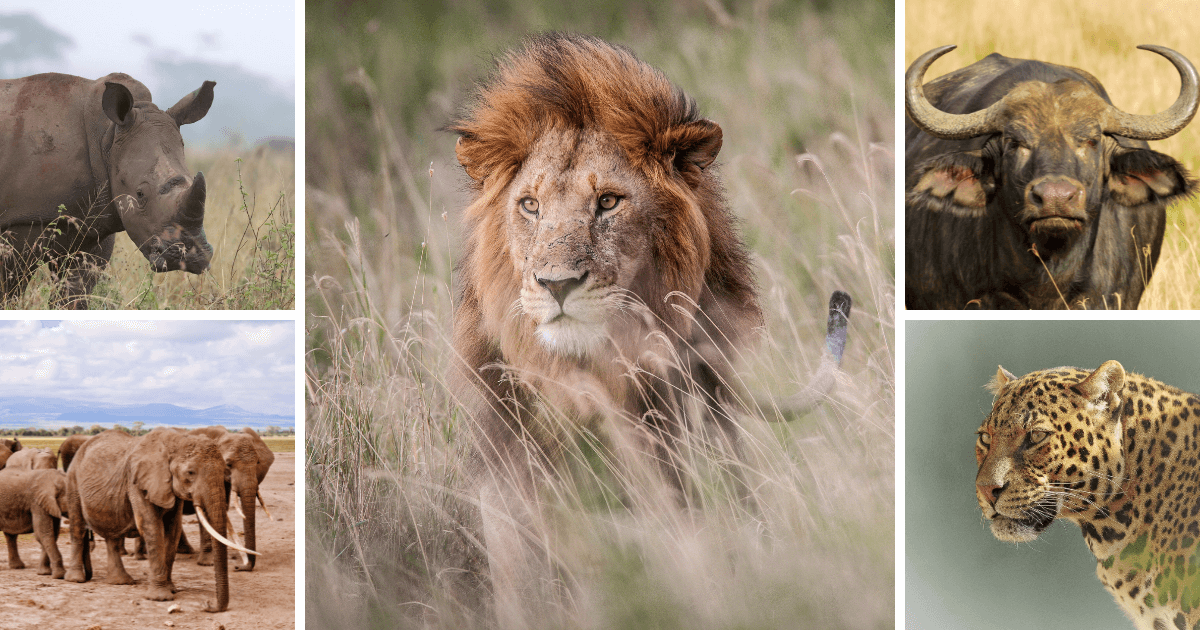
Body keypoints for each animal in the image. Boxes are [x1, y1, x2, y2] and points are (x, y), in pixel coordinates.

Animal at [64, 428, 256, 612]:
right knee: (77, 527)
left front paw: (171, 589)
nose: (208, 604)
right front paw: (160, 597)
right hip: (73, 480)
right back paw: (76, 579)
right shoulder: (136, 482)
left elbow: (173, 529)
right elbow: (152, 527)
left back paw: (120, 581)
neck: (175, 441)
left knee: (112, 536)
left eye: (225, 469)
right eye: (190, 472)